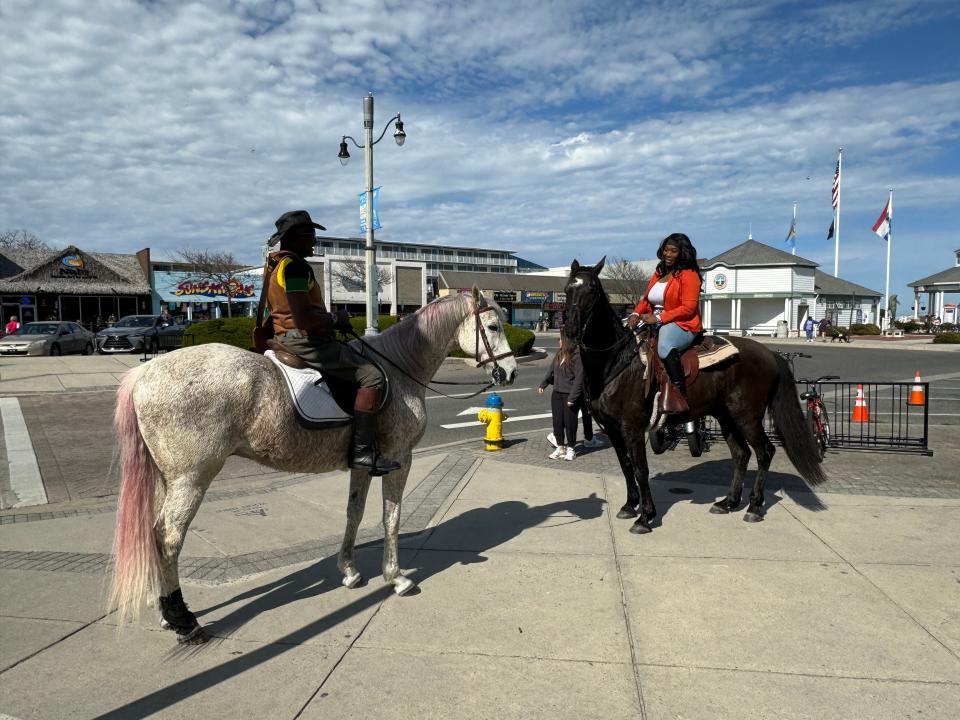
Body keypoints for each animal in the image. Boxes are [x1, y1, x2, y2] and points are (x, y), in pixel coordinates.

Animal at [109, 290, 516, 644]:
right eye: (494, 326)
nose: (510, 373)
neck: (400, 370)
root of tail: (144, 375)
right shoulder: (400, 458)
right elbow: (392, 518)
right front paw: (396, 577)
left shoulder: (363, 464)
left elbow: (354, 513)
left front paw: (349, 571)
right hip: (192, 478)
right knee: (168, 539)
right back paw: (183, 619)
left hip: (171, 479)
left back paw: (167, 611)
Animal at [564, 258, 824, 536]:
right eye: (568, 289)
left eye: (592, 290)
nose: (570, 329)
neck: (615, 361)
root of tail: (770, 353)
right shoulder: (612, 428)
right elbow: (625, 466)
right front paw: (629, 506)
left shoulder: (632, 427)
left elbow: (640, 468)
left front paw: (645, 517)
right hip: (726, 417)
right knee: (741, 454)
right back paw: (728, 502)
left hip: (747, 417)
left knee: (764, 452)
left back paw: (754, 507)